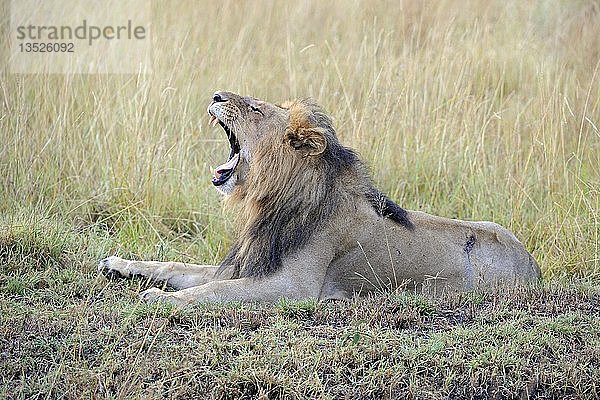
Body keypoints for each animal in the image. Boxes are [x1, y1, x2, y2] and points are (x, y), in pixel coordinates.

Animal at [98, 90, 540, 304]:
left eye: (255, 109)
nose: (217, 94)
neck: (268, 199)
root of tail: (534, 267)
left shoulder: (295, 287)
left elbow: (212, 292)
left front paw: (156, 299)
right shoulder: (245, 264)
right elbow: (176, 265)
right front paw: (118, 264)